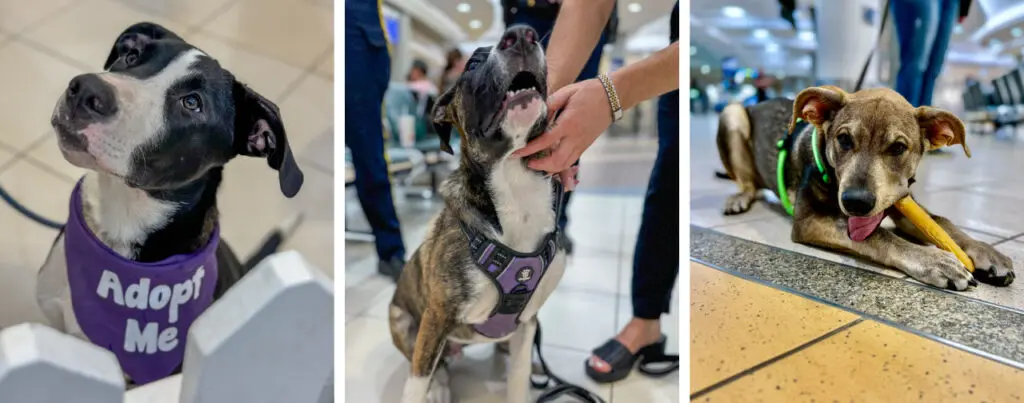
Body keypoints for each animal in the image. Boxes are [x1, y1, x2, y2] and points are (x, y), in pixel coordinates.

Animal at [389, 25, 569, 403]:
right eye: (472, 64)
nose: (522, 34)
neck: (515, 181)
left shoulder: (527, 321)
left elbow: (517, 379)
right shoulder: (435, 317)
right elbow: (417, 379)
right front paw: (429, 387)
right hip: (402, 320)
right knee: (429, 363)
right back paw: (440, 385)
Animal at [720, 86, 1015, 290]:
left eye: (898, 147)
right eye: (844, 139)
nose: (856, 202)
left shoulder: (902, 202)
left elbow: (941, 222)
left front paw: (988, 253)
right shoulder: (809, 221)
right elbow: (879, 236)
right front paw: (935, 261)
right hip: (732, 114)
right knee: (746, 182)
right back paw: (739, 198)